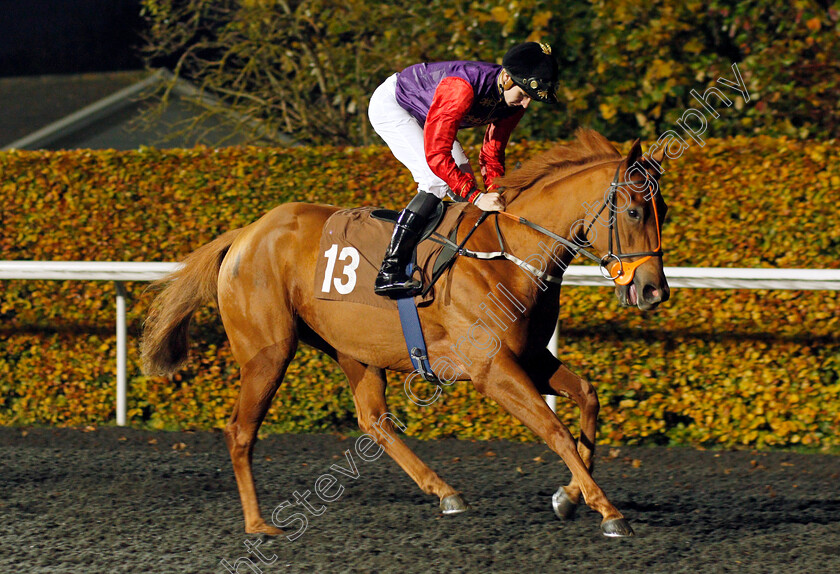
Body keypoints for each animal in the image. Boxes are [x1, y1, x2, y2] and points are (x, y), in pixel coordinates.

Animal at [144, 129, 668, 540]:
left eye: (662, 207)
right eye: (635, 212)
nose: (653, 289)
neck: (508, 253)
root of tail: (246, 233)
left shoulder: (529, 356)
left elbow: (587, 398)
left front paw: (570, 497)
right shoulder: (492, 368)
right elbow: (555, 429)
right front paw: (609, 511)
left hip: (352, 349)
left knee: (374, 421)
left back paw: (446, 492)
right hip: (268, 352)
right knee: (240, 430)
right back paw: (258, 525)